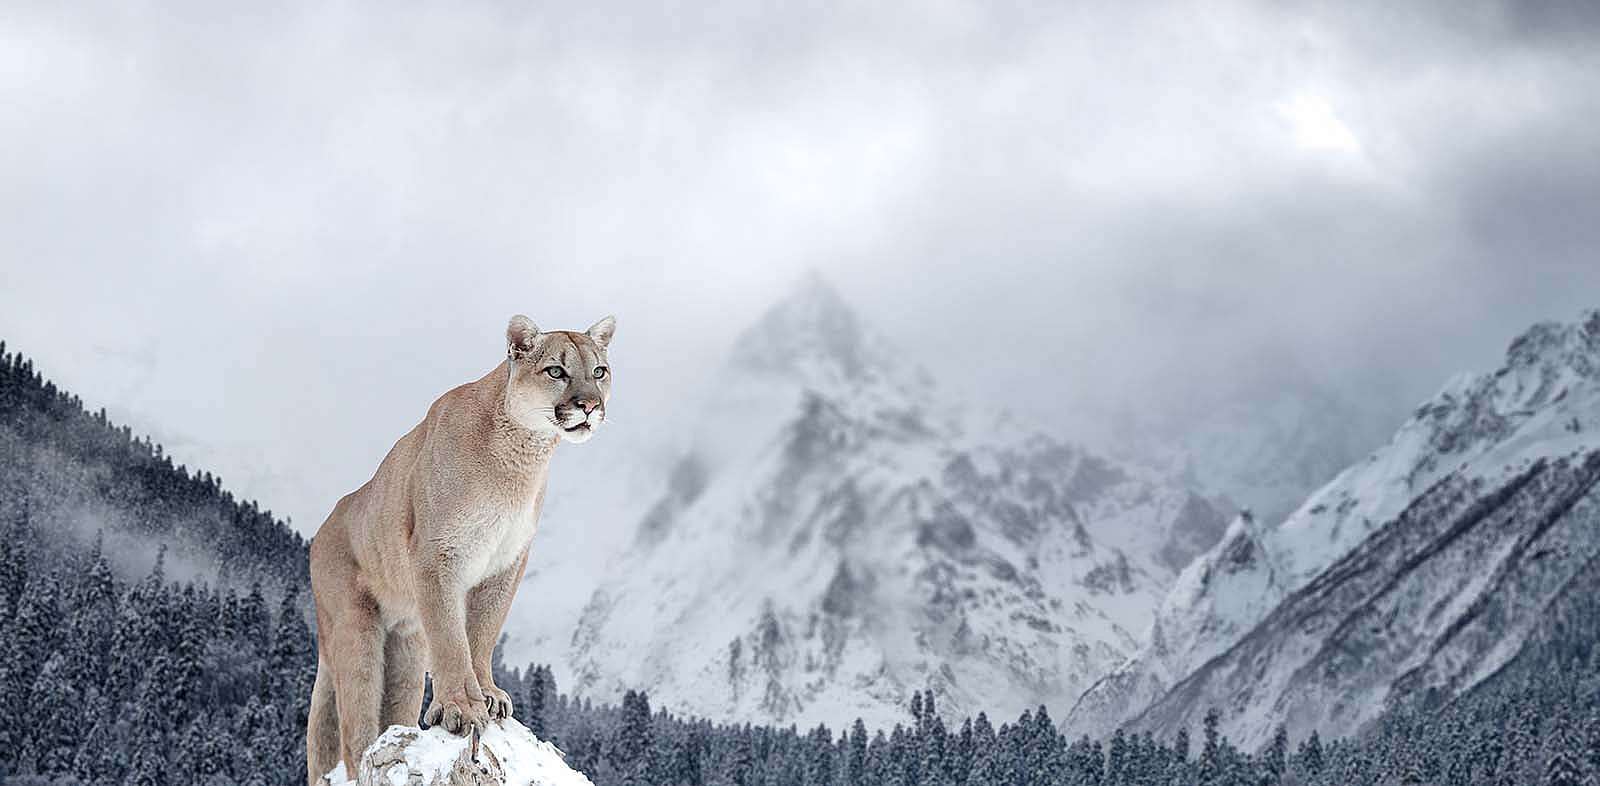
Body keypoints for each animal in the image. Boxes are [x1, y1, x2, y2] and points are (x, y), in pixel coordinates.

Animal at [305, 314, 614, 784]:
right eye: (556, 371)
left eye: (599, 371)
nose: (590, 406)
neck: (519, 458)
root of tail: (320, 528)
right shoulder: (438, 555)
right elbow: (452, 637)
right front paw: (462, 708)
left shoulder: (506, 563)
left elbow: (483, 632)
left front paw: (487, 694)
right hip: (355, 629)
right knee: (353, 726)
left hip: (407, 645)